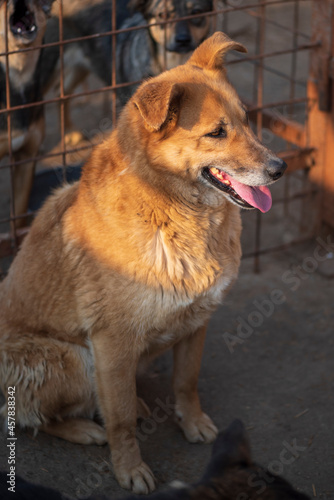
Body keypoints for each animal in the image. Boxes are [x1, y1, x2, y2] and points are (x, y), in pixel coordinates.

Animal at [0, 33, 288, 494]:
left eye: (246, 121)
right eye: (216, 132)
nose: (281, 168)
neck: (176, 211)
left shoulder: (197, 320)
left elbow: (186, 382)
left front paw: (193, 424)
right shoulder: (111, 341)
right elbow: (119, 423)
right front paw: (129, 469)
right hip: (73, 359)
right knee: (35, 417)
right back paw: (86, 428)